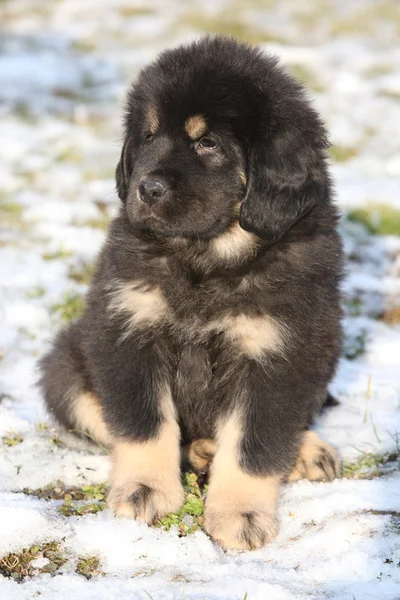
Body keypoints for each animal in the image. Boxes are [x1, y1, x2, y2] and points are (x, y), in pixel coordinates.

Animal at [39, 37, 342, 552]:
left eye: (208, 143)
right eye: (148, 137)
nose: (146, 188)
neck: (209, 257)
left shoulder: (280, 352)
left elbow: (254, 443)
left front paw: (240, 514)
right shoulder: (128, 329)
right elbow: (145, 424)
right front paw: (144, 490)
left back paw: (305, 449)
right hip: (65, 367)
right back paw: (200, 450)